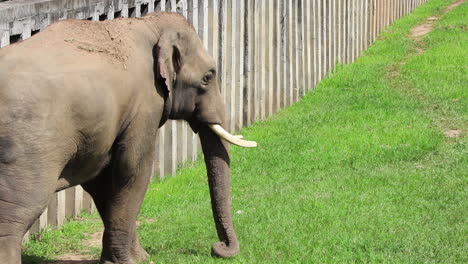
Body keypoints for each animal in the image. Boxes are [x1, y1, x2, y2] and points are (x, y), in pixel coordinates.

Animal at [0, 11, 256, 262]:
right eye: (207, 77)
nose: (218, 248)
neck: (149, 24)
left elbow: (102, 181)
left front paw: (134, 257)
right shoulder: (145, 104)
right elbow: (134, 169)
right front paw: (131, 261)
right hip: (29, 143)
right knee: (18, 213)